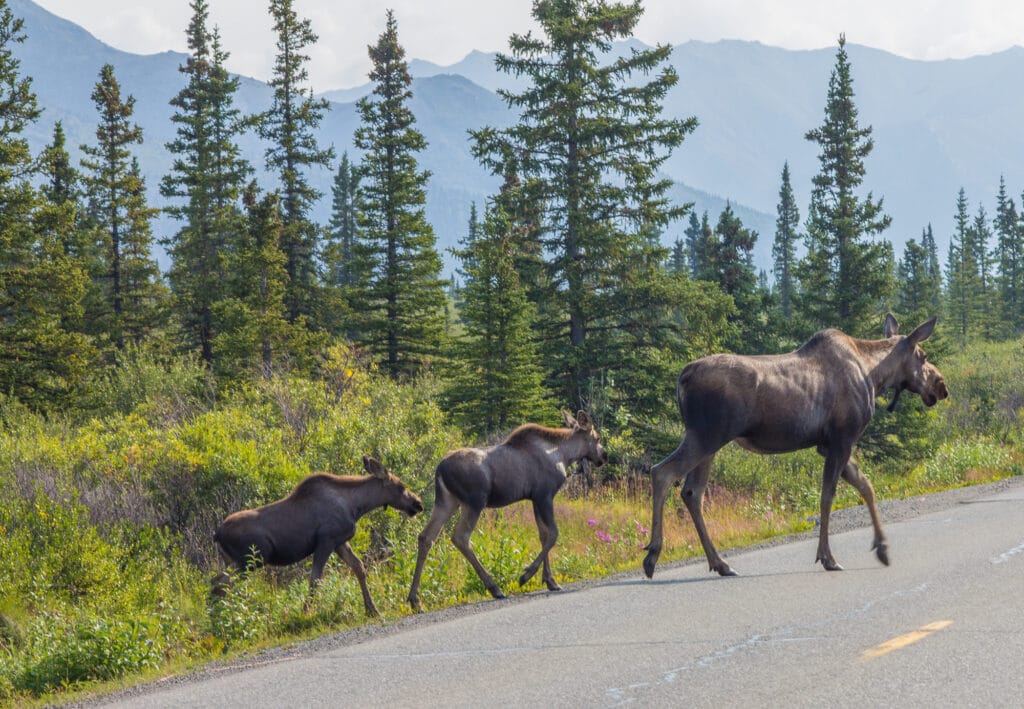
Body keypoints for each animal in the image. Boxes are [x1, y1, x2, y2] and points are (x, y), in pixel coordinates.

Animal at [214, 454, 421, 614]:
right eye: (401, 486)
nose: (417, 503)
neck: (356, 506)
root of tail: (217, 534)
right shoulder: (326, 542)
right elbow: (315, 579)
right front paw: (306, 612)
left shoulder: (340, 542)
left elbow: (359, 567)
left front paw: (372, 609)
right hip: (251, 560)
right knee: (222, 584)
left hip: (236, 562)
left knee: (217, 582)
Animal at [405, 409, 602, 614]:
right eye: (597, 438)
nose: (603, 457)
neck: (564, 455)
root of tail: (439, 469)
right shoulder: (544, 495)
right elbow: (553, 534)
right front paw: (526, 575)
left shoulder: (535, 498)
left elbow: (543, 536)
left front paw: (550, 581)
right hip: (474, 501)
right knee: (461, 537)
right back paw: (495, 588)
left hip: (447, 502)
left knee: (426, 537)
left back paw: (415, 599)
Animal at [643, 313, 946, 577]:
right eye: (923, 356)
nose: (941, 385)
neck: (874, 376)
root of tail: (681, 378)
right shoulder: (842, 438)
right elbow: (828, 496)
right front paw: (828, 558)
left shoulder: (828, 444)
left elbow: (866, 487)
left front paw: (882, 548)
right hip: (706, 436)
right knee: (662, 472)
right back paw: (653, 555)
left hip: (708, 443)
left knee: (692, 492)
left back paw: (720, 563)